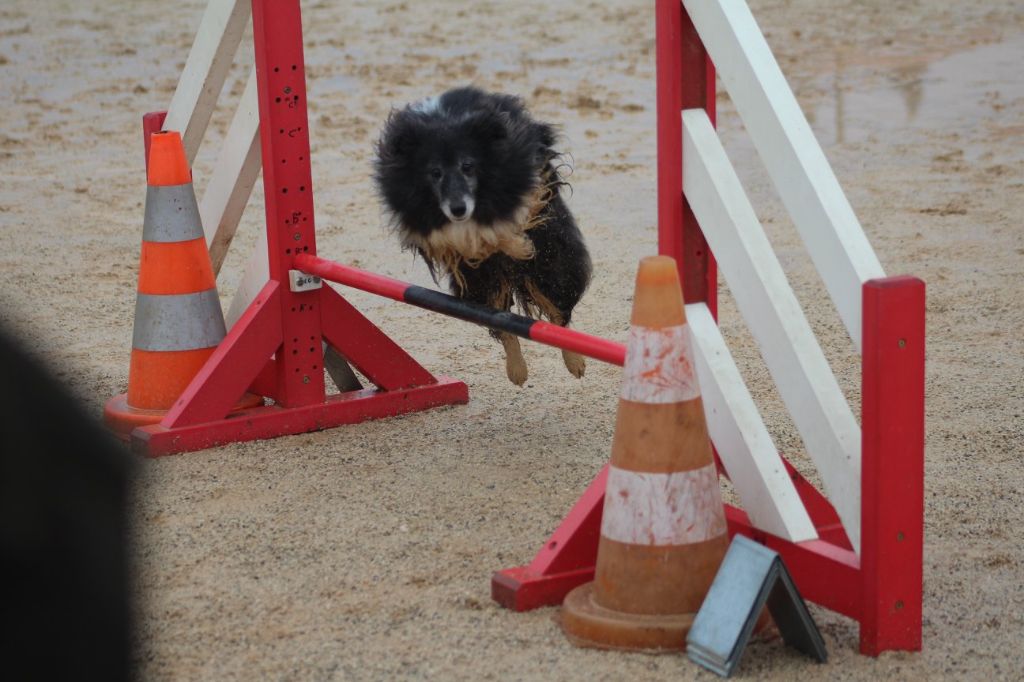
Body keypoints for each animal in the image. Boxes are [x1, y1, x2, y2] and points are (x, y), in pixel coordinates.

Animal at [374, 85, 593, 385]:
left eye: (468, 166)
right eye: (434, 173)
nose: (458, 209)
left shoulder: (529, 178)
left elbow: (514, 220)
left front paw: (517, 244)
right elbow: (456, 239)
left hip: (550, 264)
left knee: (558, 313)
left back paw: (575, 364)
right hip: (482, 284)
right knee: (503, 323)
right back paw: (517, 371)